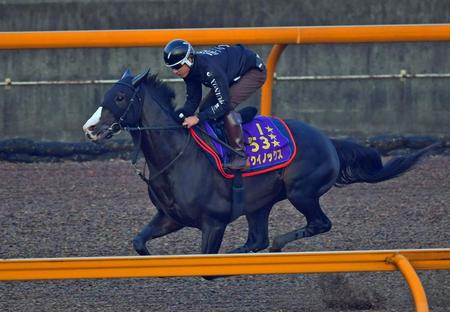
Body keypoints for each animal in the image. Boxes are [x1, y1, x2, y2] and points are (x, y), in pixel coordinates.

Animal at [82, 70, 438, 256]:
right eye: (106, 95)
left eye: (119, 97)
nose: (90, 128)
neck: (176, 156)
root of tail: (329, 142)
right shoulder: (170, 217)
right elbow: (139, 241)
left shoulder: (213, 223)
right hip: (259, 204)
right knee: (257, 239)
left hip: (301, 192)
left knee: (317, 224)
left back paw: (279, 244)